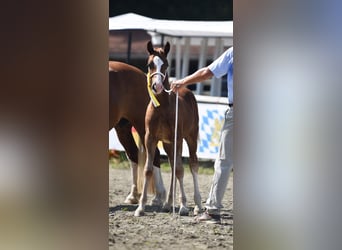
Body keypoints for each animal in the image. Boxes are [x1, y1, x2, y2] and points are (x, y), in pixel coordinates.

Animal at [107, 60, 165, 205]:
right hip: (122, 128)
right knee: (133, 154)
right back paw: (133, 195)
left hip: (142, 126)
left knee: (154, 154)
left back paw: (159, 196)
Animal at [134, 41, 202, 217]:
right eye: (149, 64)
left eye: (166, 64)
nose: (157, 86)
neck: (162, 108)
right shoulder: (150, 138)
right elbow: (148, 170)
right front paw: (140, 207)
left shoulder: (178, 138)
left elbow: (180, 170)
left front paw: (184, 206)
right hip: (167, 144)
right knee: (172, 166)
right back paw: (167, 203)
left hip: (190, 138)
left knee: (192, 164)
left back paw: (198, 204)